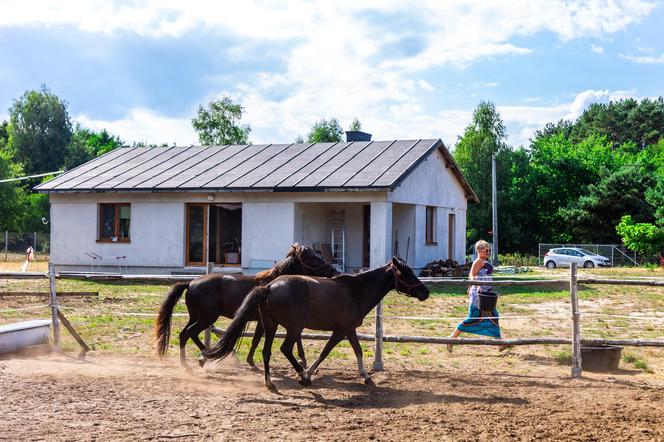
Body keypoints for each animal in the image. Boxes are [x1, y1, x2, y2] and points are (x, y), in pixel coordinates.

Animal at [155, 243, 338, 368]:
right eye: (312, 257)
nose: (334, 271)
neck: (271, 284)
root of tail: (190, 283)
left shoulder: (264, 321)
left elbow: (258, 340)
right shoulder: (267, 321)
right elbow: (259, 340)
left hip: (196, 316)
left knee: (184, 334)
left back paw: (195, 360)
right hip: (207, 318)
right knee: (190, 333)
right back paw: (202, 360)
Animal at [204, 258, 430, 392]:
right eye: (407, 274)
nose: (425, 292)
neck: (356, 291)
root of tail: (268, 287)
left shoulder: (350, 330)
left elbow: (358, 351)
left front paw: (366, 377)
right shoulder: (340, 331)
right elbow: (325, 352)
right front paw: (309, 372)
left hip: (270, 326)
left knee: (267, 351)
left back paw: (270, 383)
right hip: (294, 328)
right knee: (285, 349)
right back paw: (302, 377)